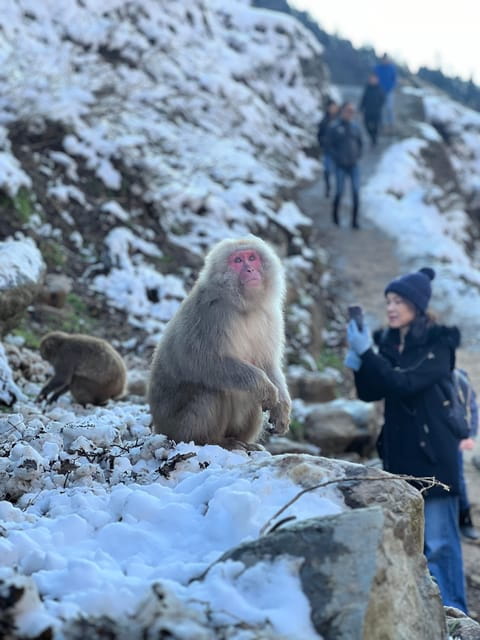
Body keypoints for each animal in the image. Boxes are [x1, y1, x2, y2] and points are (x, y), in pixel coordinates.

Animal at [147, 235, 291, 449]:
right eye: (238, 261)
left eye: (252, 257)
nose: (250, 269)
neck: (243, 307)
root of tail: (160, 427)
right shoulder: (212, 314)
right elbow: (201, 361)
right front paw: (264, 386)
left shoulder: (270, 317)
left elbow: (267, 364)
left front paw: (281, 409)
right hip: (179, 426)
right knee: (210, 389)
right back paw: (212, 441)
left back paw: (243, 441)